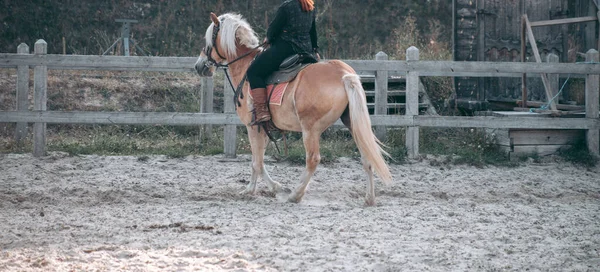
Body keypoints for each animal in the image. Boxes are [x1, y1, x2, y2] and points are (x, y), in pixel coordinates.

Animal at [196, 11, 394, 205]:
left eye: (209, 39)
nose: (199, 66)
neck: (245, 66)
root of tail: (343, 74)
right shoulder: (263, 128)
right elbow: (258, 160)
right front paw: (256, 189)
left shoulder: (252, 127)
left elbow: (257, 163)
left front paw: (269, 188)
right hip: (352, 124)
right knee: (367, 157)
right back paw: (369, 198)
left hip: (310, 129)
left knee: (312, 160)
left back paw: (295, 195)